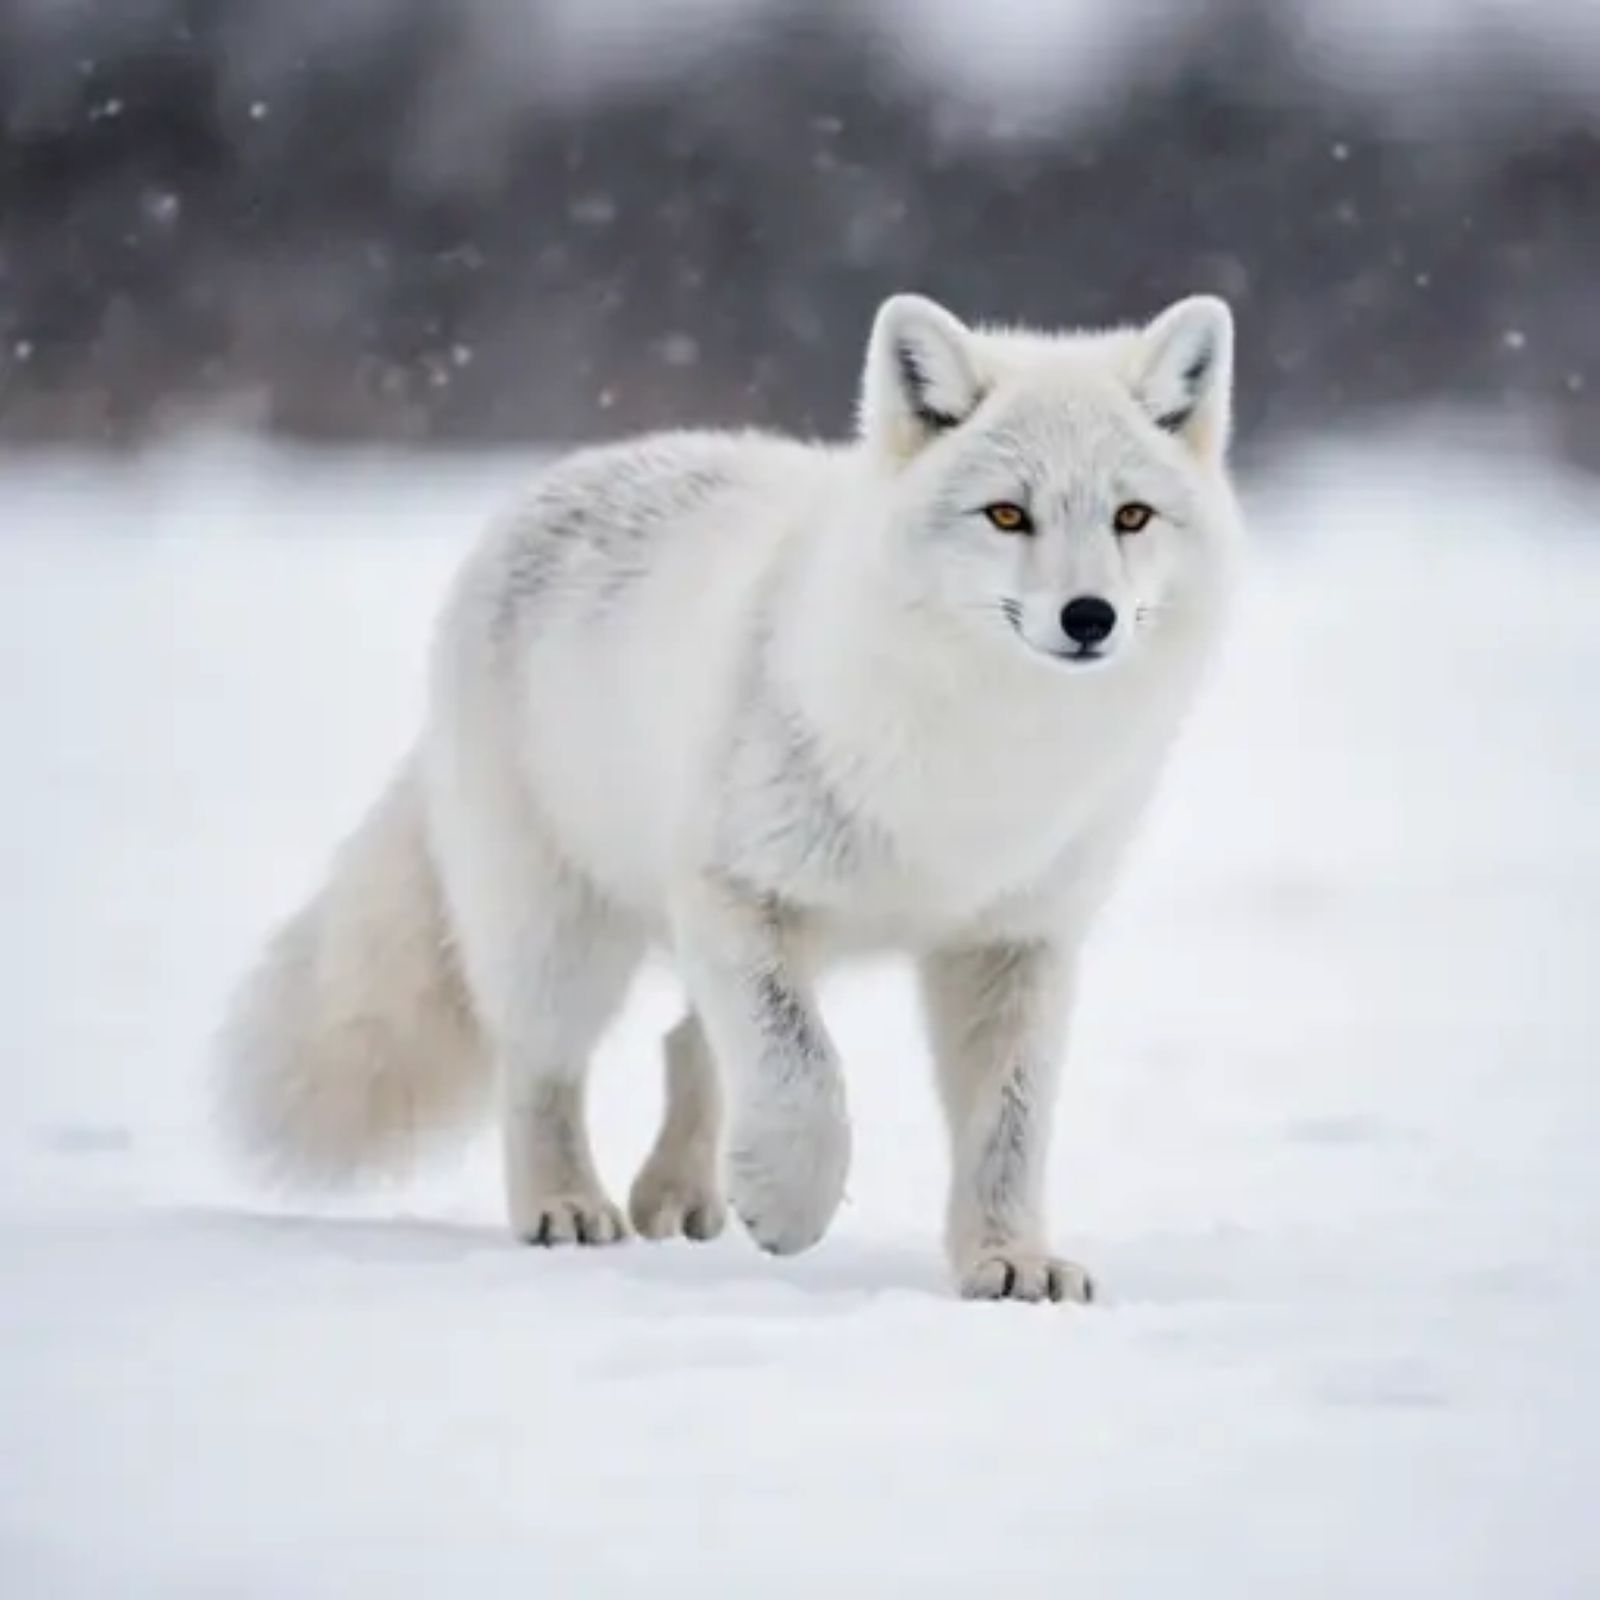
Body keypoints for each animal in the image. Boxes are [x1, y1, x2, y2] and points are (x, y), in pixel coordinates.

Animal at [220, 291, 1244, 1302]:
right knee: (542, 1065)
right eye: (1005, 515)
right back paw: (566, 1205)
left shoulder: (1015, 942)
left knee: (689, 1038)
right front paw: (791, 1205)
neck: (982, 765)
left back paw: (677, 1192)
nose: (1089, 618)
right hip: (567, 936)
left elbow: (1009, 1127)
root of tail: (559, 479)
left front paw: (1011, 1261)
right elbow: (802, 1072)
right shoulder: (737, 889)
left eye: (1132, 516)